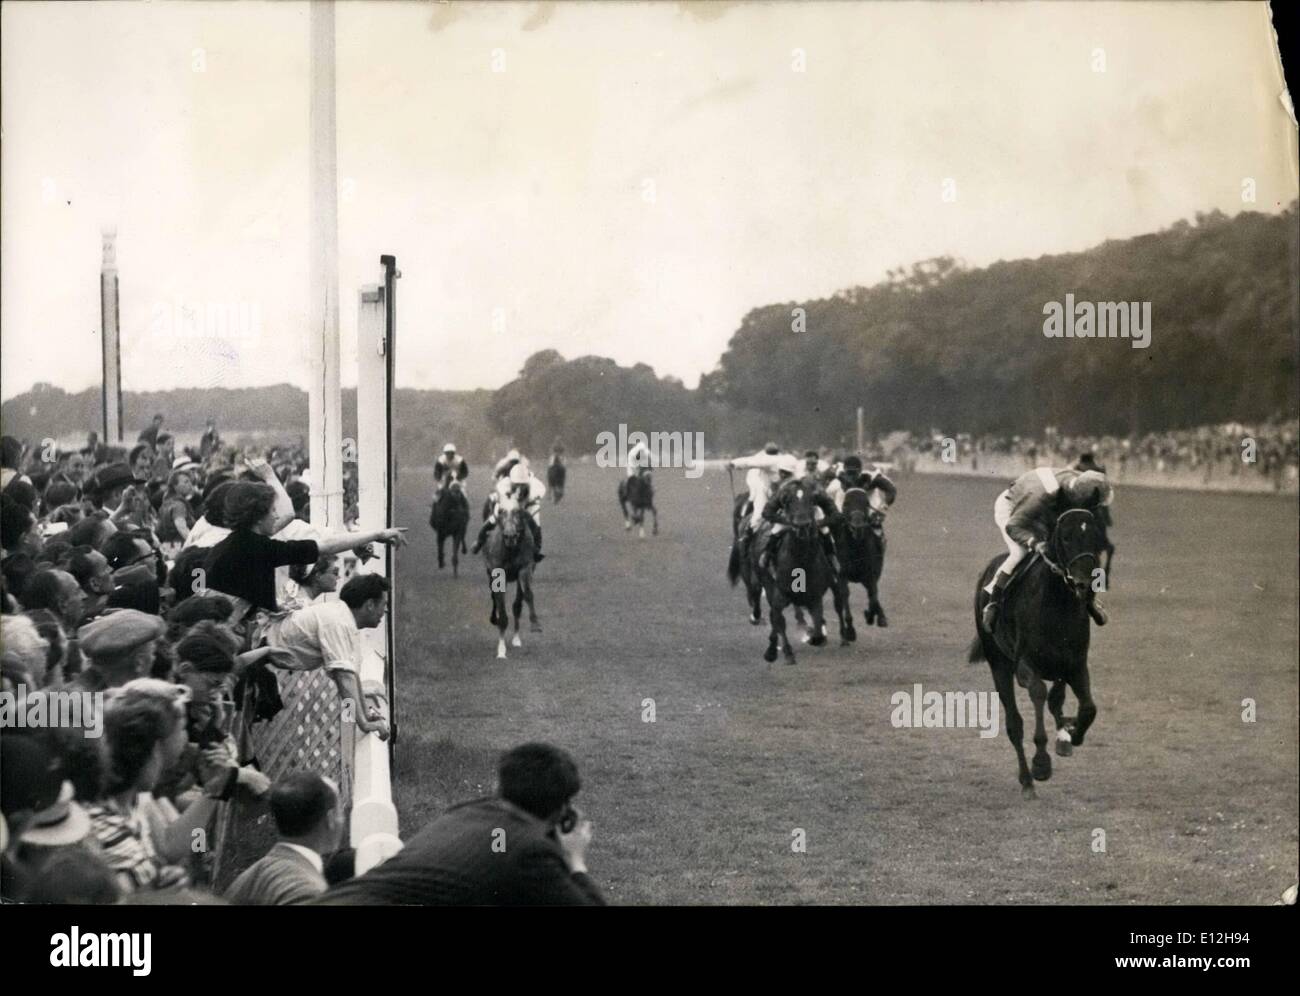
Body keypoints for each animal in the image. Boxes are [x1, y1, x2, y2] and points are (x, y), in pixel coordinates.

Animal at [483, 499, 538, 663]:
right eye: (500, 512)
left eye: (518, 512)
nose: (510, 536)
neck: (511, 551)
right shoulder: (498, 574)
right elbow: (502, 613)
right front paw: (501, 651)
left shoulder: (525, 567)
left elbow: (526, 596)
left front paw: (534, 624)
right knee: (494, 598)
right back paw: (494, 618)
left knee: (517, 605)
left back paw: (516, 639)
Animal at [826, 491, 889, 639]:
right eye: (846, 504)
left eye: (866, 503)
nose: (857, 526)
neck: (856, 550)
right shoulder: (842, 574)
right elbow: (845, 595)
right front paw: (850, 631)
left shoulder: (871, 574)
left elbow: (873, 596)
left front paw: (871, 616)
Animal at [967, 509, 1107, 800]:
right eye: (1065, 537)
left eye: (1096, 536)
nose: (1084, 584)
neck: (1057, 606)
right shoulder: (1025, 666)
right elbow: (1039, 694)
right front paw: (1041, 763)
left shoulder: (1075, 664)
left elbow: (1088, 707)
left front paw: (1072, 733)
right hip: (999, 663)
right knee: (1015, 724)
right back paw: (1027, 781)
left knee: (1056, 700)